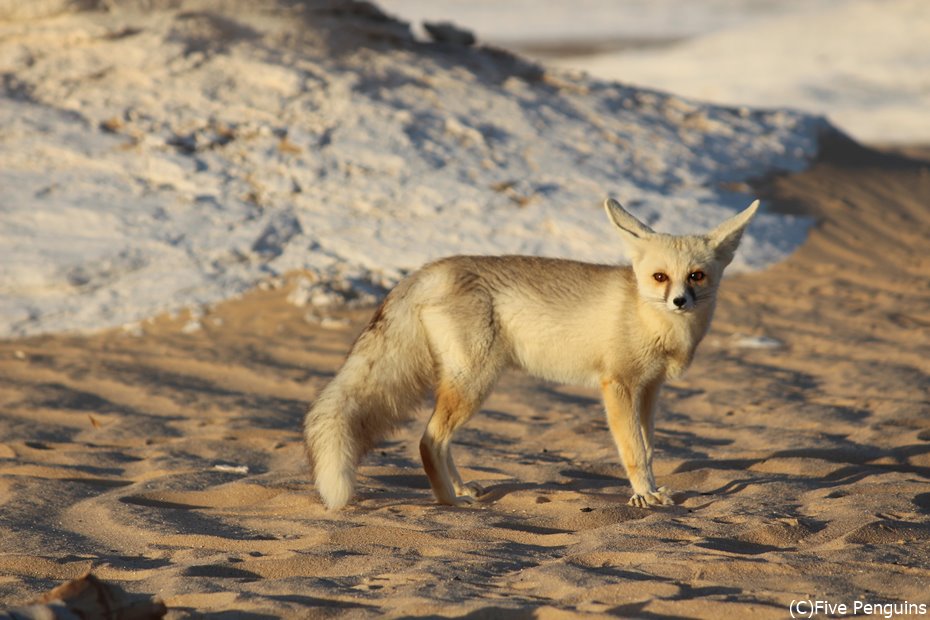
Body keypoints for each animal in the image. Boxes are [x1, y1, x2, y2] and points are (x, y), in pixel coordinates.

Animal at [300, 197, 756, 508]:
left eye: (696, 276)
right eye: (660, 277)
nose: (679, 301)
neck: (651, 321)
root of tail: (426, 270)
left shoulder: (650, 390)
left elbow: (650, 447)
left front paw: (654, 489)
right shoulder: (618, 386)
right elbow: (634, 452)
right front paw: (644, 495)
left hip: (469, 384)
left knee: (440, 442)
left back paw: (460, 489)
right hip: (475, 383)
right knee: (428, 441)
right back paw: (449, 500)